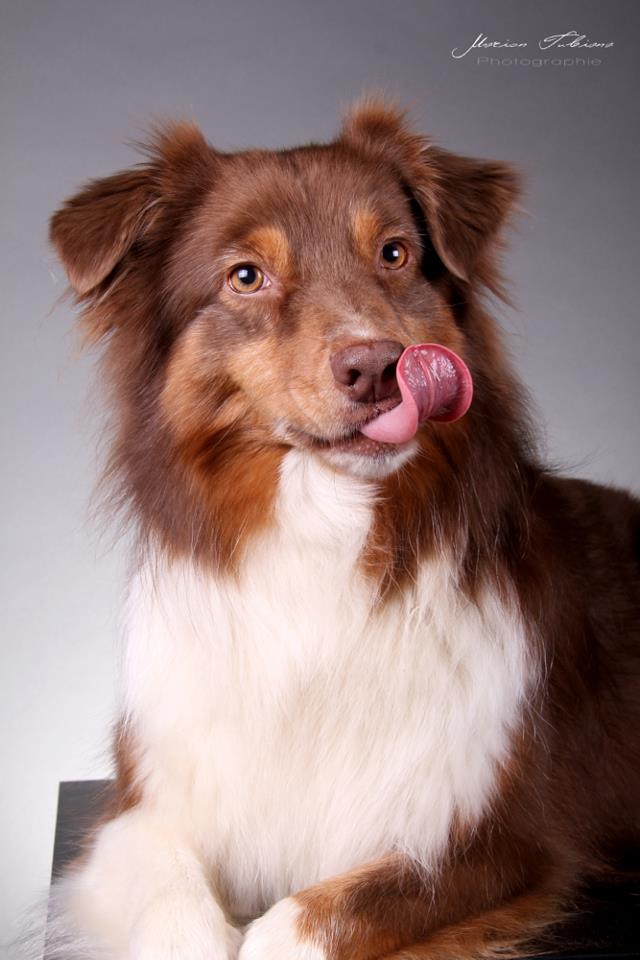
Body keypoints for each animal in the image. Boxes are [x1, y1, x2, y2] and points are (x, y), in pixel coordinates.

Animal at [45, 101, 640, 956]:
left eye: (394, 253)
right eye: (246, 276)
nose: (379, 366)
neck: (322, 539)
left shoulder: (495, 838)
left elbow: (296, 923)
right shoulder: (139, 814)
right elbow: (176, 910)